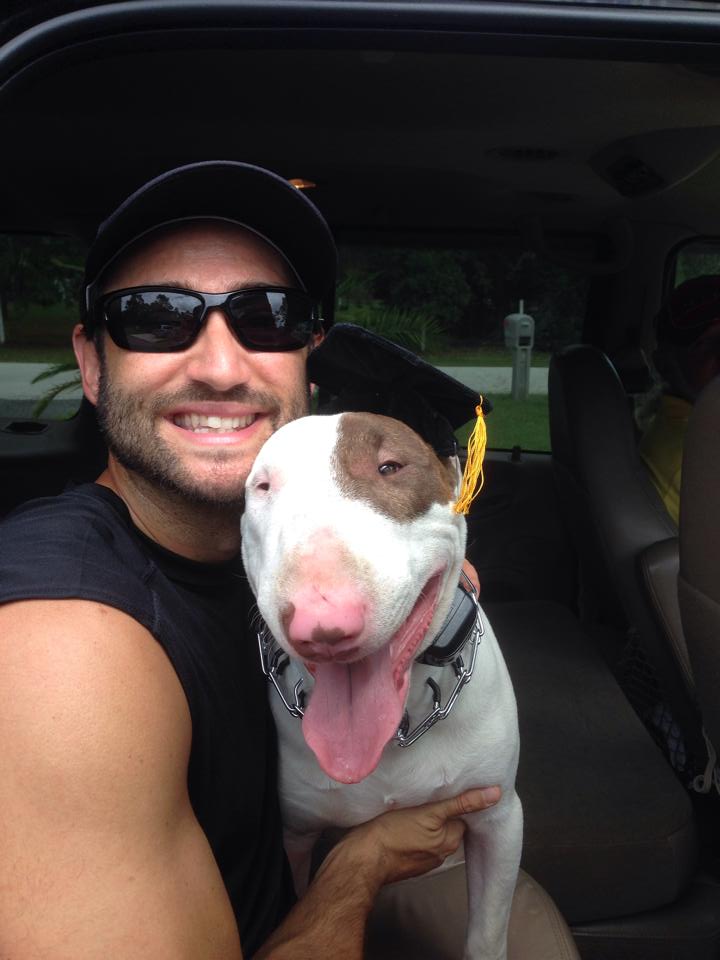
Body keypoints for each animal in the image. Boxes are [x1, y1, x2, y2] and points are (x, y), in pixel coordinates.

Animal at [241, 410, 522, 959]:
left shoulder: (500, 817)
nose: (323, 620)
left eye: (390, 466)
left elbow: (487, 933)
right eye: (263, 486)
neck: (398, 730)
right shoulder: (294, 834)